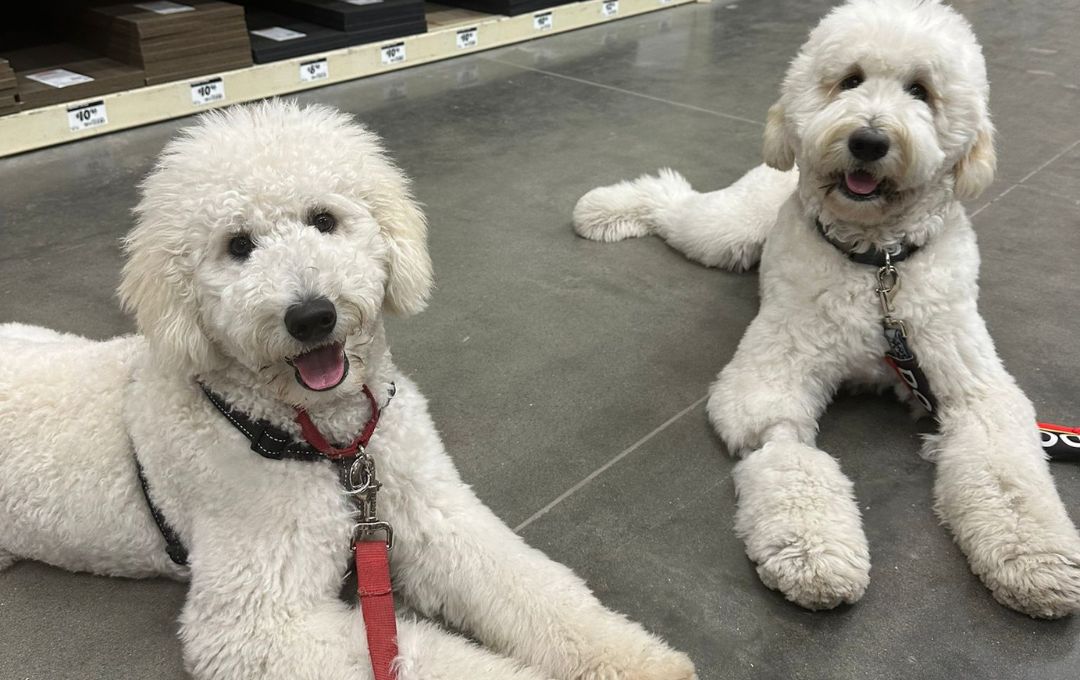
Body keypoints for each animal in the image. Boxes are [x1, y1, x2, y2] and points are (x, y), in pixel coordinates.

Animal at [574, 0, 1080, 617]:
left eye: (921, 90)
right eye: (850, 80)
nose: (868, 140)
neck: (876, 265)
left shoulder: (975, 388)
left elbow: (1006, 476)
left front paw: (1037, 559)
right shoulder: (775, 376)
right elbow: (787, 450)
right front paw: (813, 554)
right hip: (726, 231)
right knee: (671, 200)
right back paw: (603, 209)